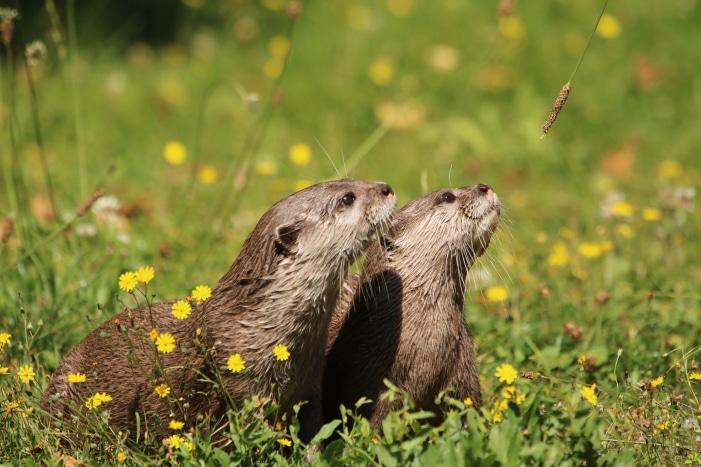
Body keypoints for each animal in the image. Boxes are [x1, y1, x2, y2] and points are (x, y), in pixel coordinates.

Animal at [42, 179, 396, 445]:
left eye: (354, 181)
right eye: (347, 198)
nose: (387, 188)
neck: (254, 329)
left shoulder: (309, 389)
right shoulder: (233, 394)